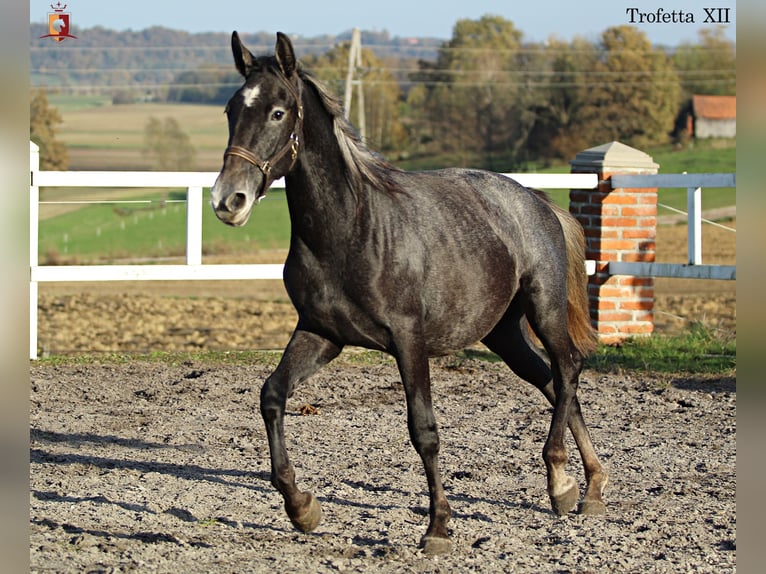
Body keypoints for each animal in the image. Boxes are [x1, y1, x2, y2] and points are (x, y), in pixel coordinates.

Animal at [212, 32, 612, 560]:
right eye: (231, 109)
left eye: (279, 111)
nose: (227, 200)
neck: (351, 229)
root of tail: (537, 202)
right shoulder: (320, 334)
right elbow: (272, 396)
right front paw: (301, 507)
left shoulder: (408, 339)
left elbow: (424, 430)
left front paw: (438, 526)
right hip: (503, 334)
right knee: (550, 381)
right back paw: (586, 487)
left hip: (543, 311)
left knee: (567, 370)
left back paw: (563, 479)